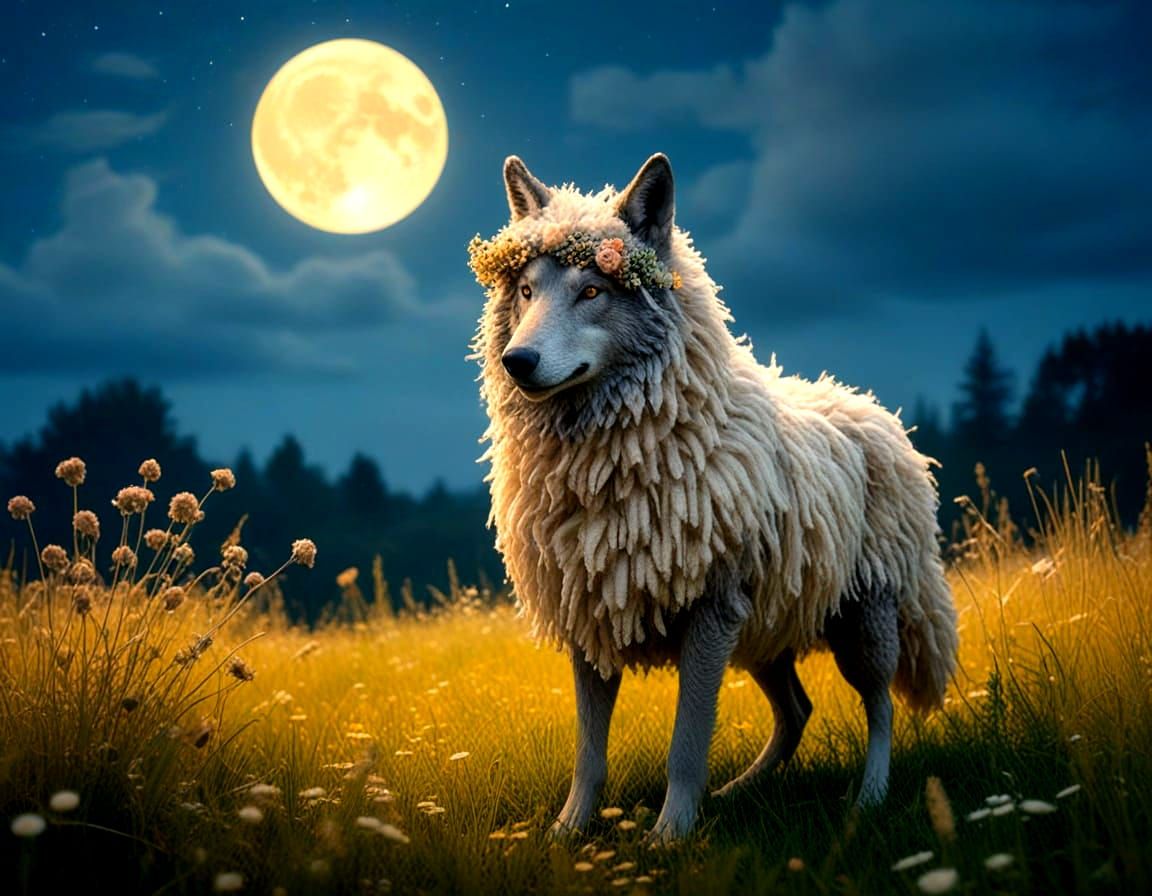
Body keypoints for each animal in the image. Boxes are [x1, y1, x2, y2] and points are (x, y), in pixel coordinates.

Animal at [469, 153, 959, 843]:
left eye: (592, 291)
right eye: (526, 292)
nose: (518, 361)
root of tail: (877, 411)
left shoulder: (710, 616)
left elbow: (685, 745)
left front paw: (670, 836)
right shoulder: (591, 618)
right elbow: (589, 754)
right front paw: (568, 833)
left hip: (861, 628)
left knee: (880, 706)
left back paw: (868, 800)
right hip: (764, 637)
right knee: (798, 711)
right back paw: (737, 794)